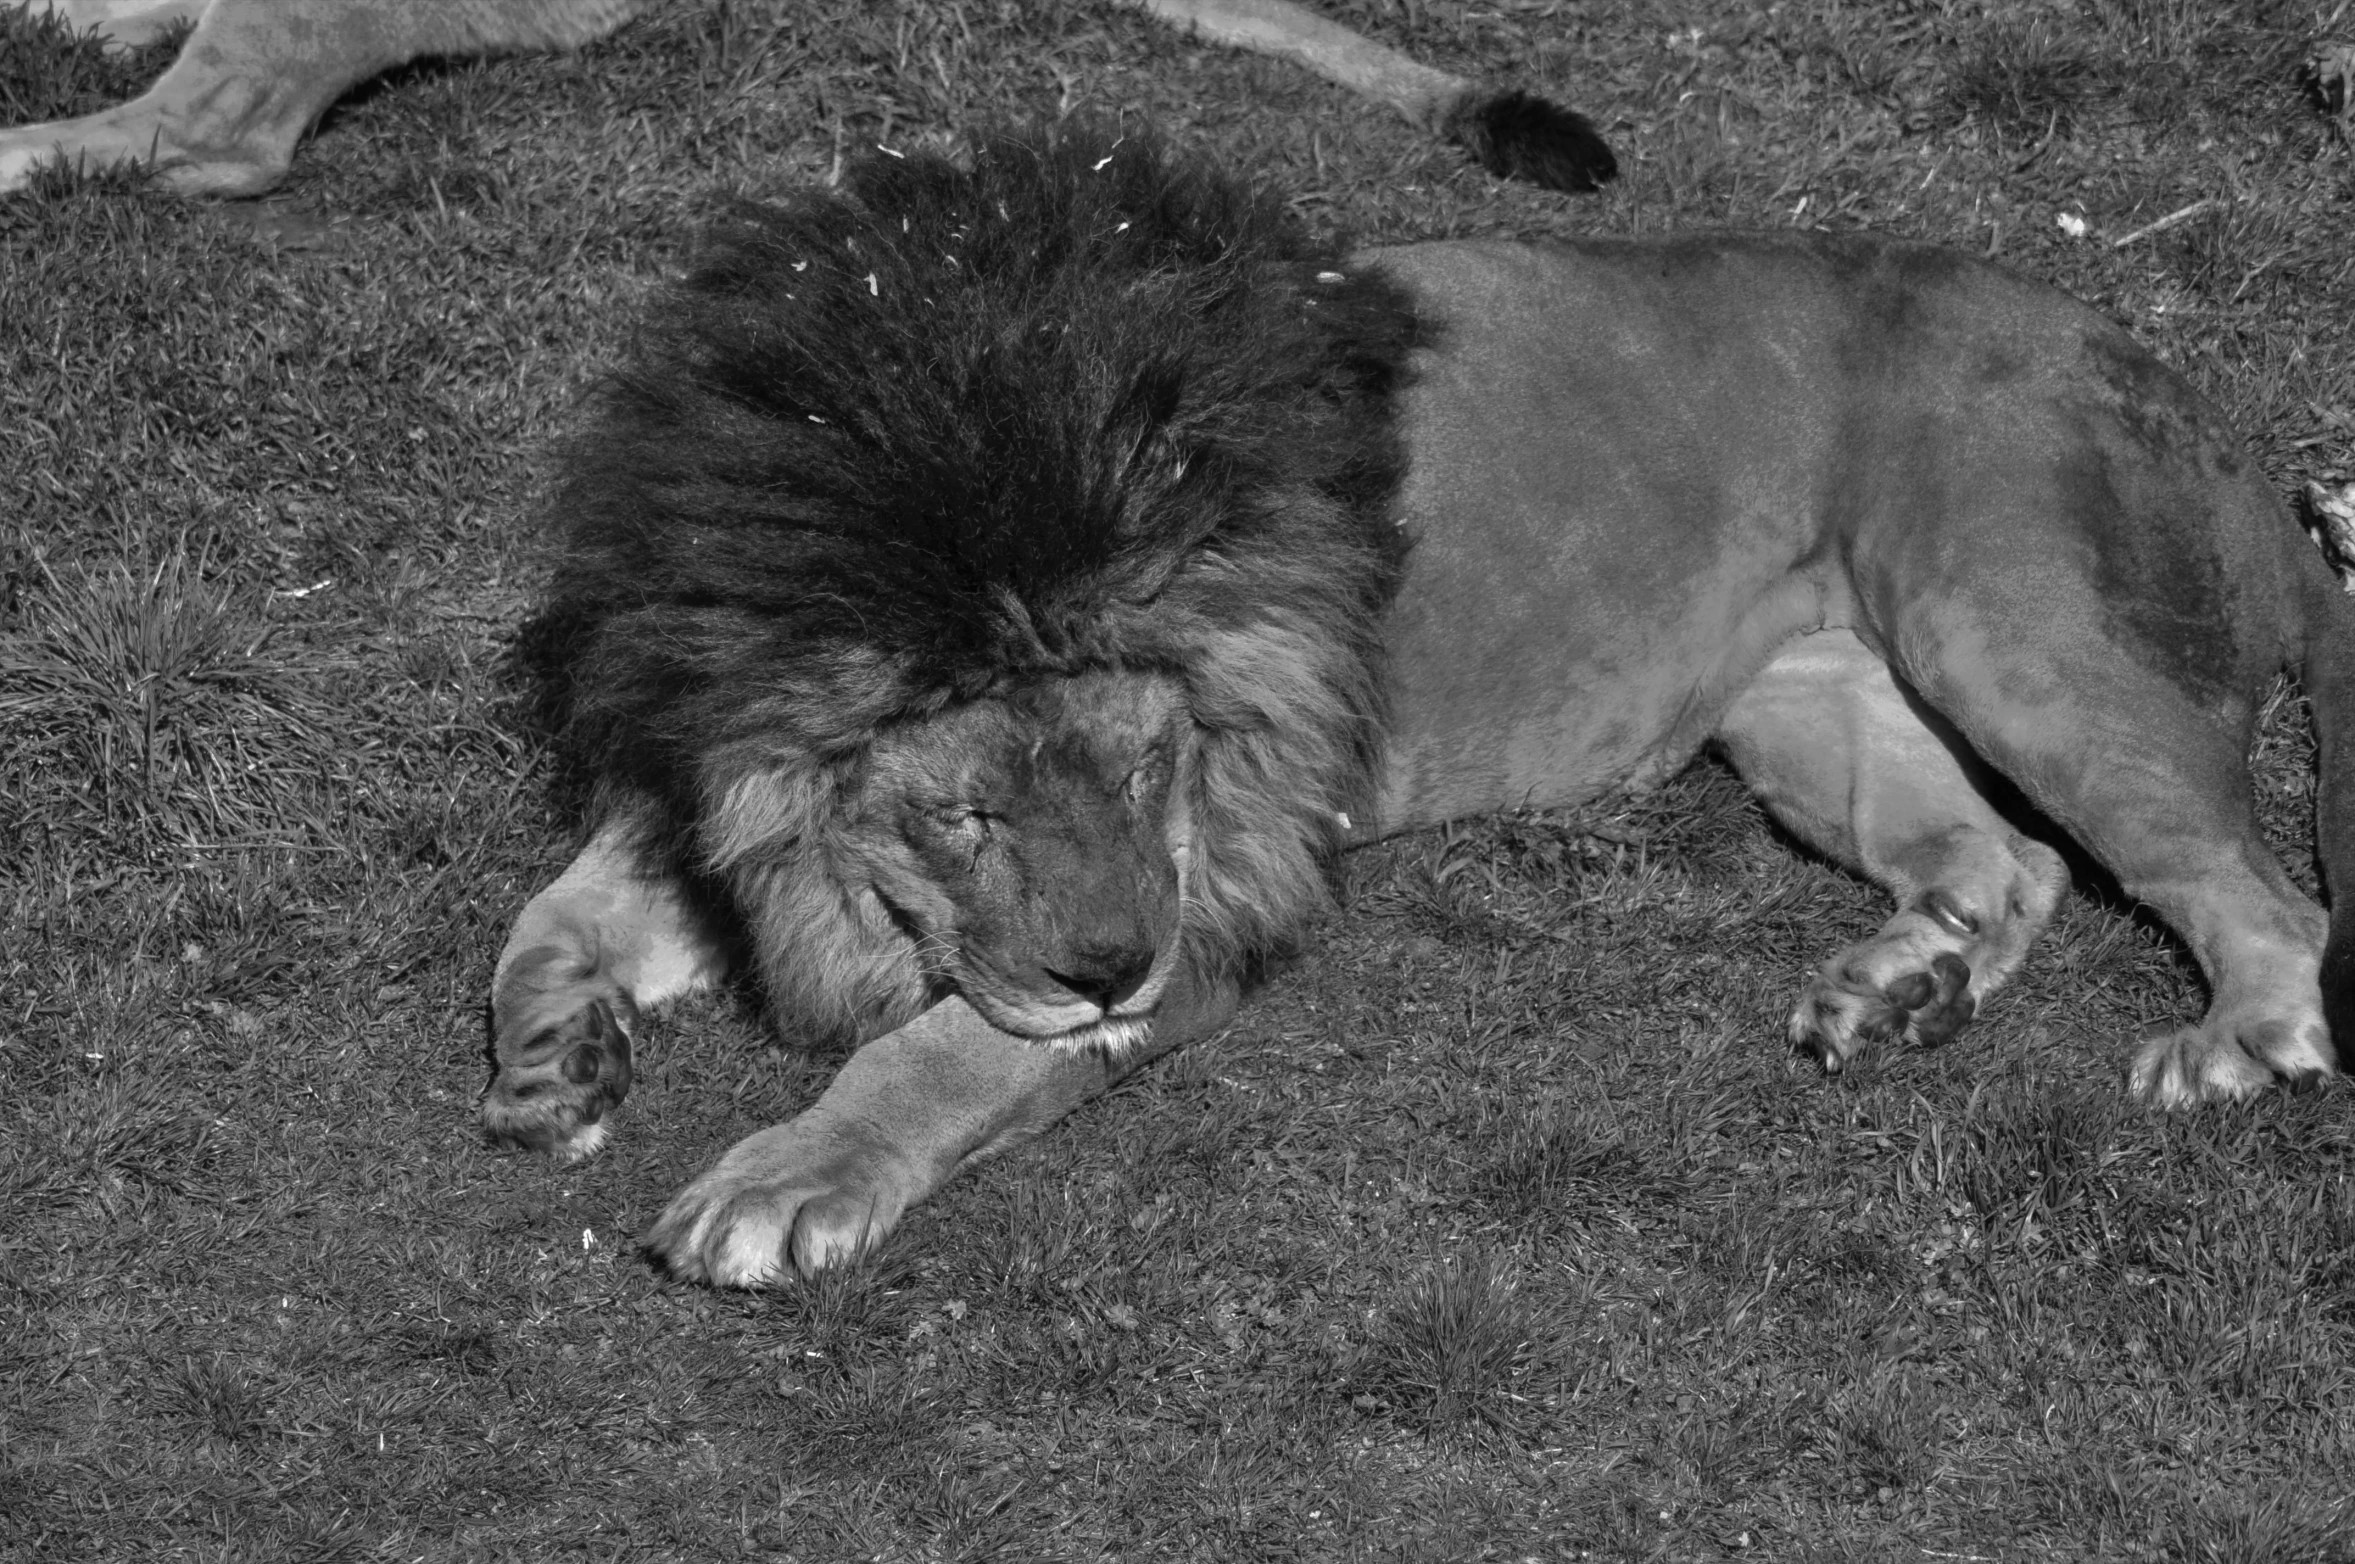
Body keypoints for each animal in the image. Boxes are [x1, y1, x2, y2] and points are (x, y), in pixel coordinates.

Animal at [482, 128, 2355, 1281]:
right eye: (965, 814)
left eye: (1148, 771)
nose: (1112, 967)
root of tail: (2189, 392)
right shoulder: (710, 750)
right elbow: (562, 902)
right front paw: (554, 1056)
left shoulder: (1229, 881)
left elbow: (947, 1048)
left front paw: (783, 1177)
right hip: (1800, 707)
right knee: (2004, 865)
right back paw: (1899, 992)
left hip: (2009, 621)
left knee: (2265, 893)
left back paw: (2228, 1044)